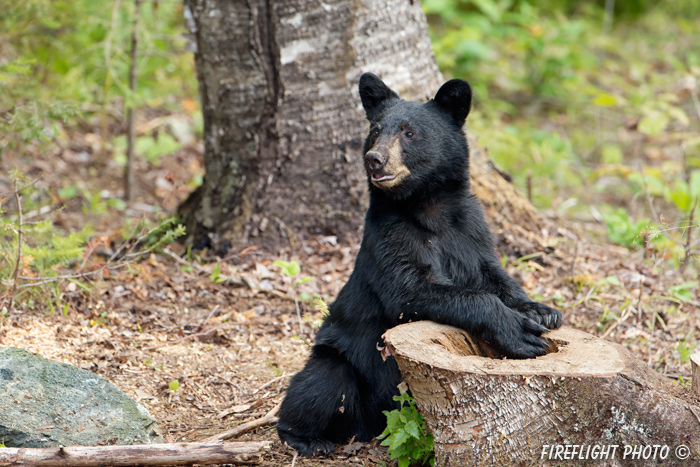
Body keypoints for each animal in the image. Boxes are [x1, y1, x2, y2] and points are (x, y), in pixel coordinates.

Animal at [276, 73, 560, 458]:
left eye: (409, 132)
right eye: (375, 130)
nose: (375, 159)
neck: (430, 208)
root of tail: (371, 427)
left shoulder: (470, 232)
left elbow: (494, 275)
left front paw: (541, 311)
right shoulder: (388, 235)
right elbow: (412, 288)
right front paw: (519, 333)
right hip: (340, 363)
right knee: (319, 385)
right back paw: (307, 439)